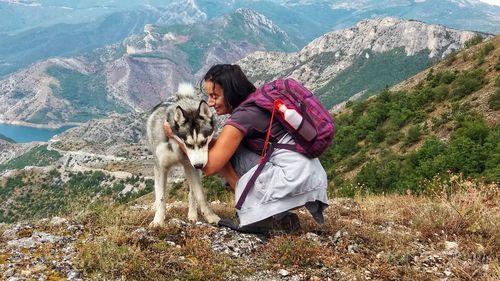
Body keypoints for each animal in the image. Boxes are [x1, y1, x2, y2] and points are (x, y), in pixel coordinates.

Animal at [146, 82, 221, 225]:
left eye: (204, 142)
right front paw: (158, 220)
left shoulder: (191, 165)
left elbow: (200, 194)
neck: (175, 142)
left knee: (192, 192)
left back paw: (192, 214)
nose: (199, 165)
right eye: (188, 144)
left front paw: (211, 216)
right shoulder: (161, 168)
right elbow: (161, 197)